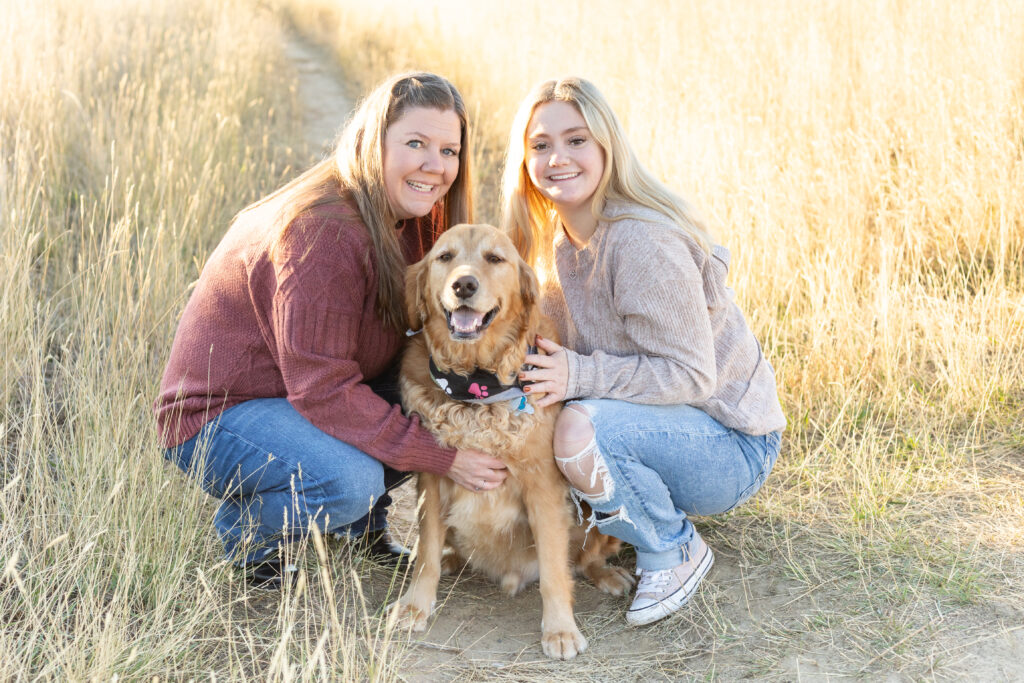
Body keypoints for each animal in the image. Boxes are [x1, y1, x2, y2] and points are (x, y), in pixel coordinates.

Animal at [393, 224, 626, 663]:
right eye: (445, 257)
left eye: (495, 259)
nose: (464, 285)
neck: (477, 386)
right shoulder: (431, 479)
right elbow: (427, 553)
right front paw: (415, 605)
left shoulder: (543, 486)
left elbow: (554, 570)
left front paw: (560, 629)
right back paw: (452, 559)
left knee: (585, 556)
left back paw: (608, 575)